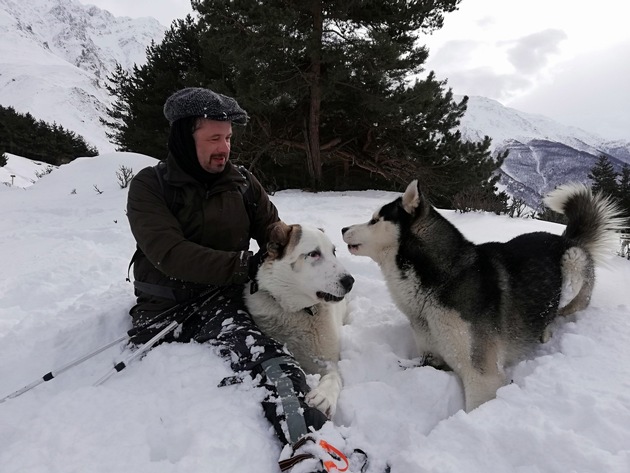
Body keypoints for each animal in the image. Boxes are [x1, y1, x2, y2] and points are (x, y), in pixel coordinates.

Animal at [244, 222, 356, 416]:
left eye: (333, 252)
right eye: (314, 254)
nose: (350, 281)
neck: (295, 312)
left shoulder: (327, 361)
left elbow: (334, 376)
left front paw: (324, 396)